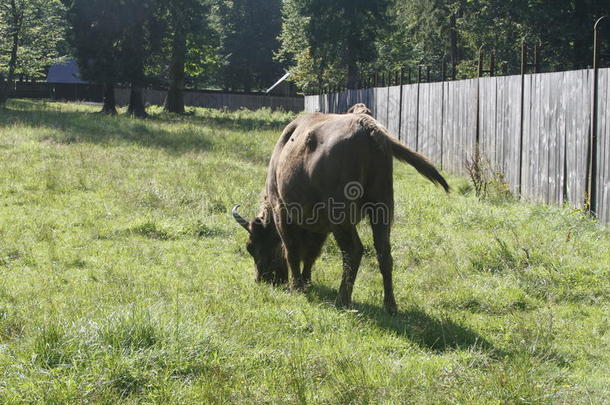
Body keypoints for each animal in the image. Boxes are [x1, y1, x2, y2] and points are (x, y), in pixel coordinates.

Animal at [233, 102, 446, 310]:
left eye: (251, 246)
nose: (262, 279)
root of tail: (366, 126)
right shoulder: (319, 227)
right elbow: (310, 254)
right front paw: (306, 282)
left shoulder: (282, 212)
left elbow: (292, 250)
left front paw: (297, 287)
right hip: (381, 208)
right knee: (383, 252)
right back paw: (389, 305)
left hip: (342, 217)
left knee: (353, 250)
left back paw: (342, 299)